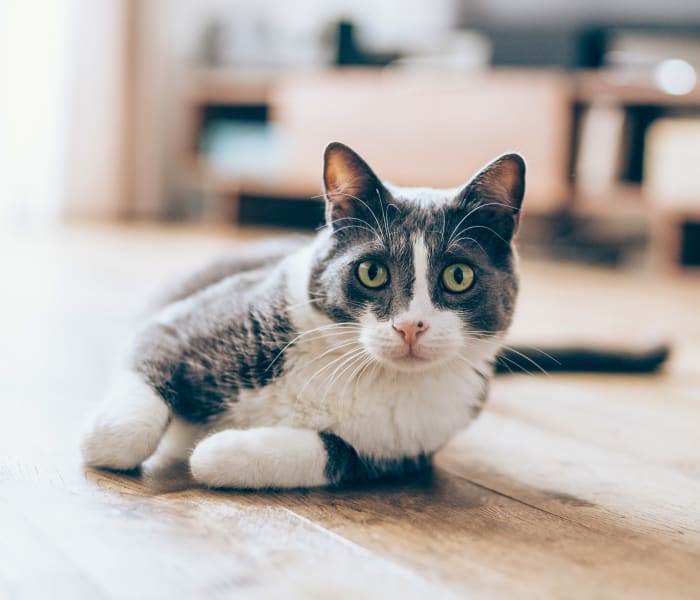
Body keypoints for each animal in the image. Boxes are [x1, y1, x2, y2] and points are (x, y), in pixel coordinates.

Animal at [79, 143, 664, 490]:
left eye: (458, 276)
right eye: (372, 272)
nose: (411, 325)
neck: (363, 371)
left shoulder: (408, 447)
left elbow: (334, 453)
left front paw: (221, 451)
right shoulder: (182, 324)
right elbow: (135, 397)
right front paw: (102, 440)